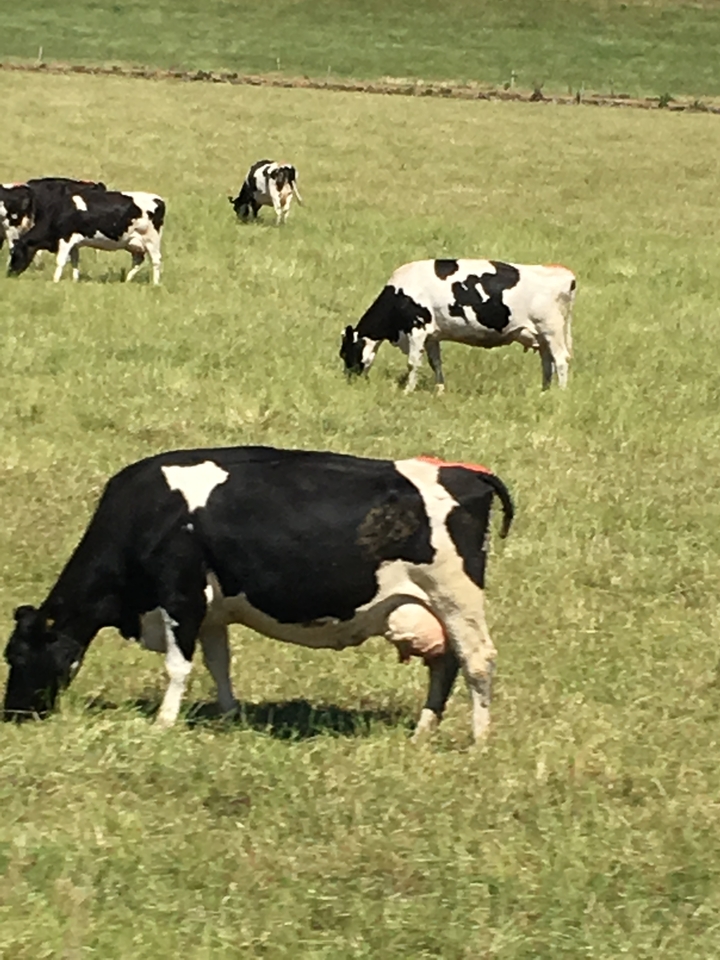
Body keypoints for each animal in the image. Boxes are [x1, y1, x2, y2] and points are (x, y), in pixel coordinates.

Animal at [2, 446, 513, 745]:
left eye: (19, 656)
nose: (13, 714)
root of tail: (467, 473)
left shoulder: (180, 595)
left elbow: (177, 667)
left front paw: (164, 723)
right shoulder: (211, 610)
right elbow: (218, 662)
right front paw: (231, 716)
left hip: (455, 596)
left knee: (477, 660)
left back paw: (478, 740)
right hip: (433, 606)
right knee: (445, 662)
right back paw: (423, 730)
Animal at [8, 189, 165, 284]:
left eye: (15, 253)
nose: (9, 274)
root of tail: (158, 199)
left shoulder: (66, 238)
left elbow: (61, 261)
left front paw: (55, 280)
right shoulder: (74, 244)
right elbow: (74, 261)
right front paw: (75, 280)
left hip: (152, 239)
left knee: (156, 260)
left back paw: (155, 283)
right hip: (133, 242)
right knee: (138, 260)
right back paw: (127, 280)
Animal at [340, 258, 576, 392]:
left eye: (345, 353)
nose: (348, 379)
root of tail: (564, 273)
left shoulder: (417, 329)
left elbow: (412, 363)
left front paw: (407, 390)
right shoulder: (432, 335)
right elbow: (435, 363)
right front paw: (439, 390)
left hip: (552, 330)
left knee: (560, 360)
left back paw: (561, 394)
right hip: (541, 335)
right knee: (547, 362)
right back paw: (544, 391)